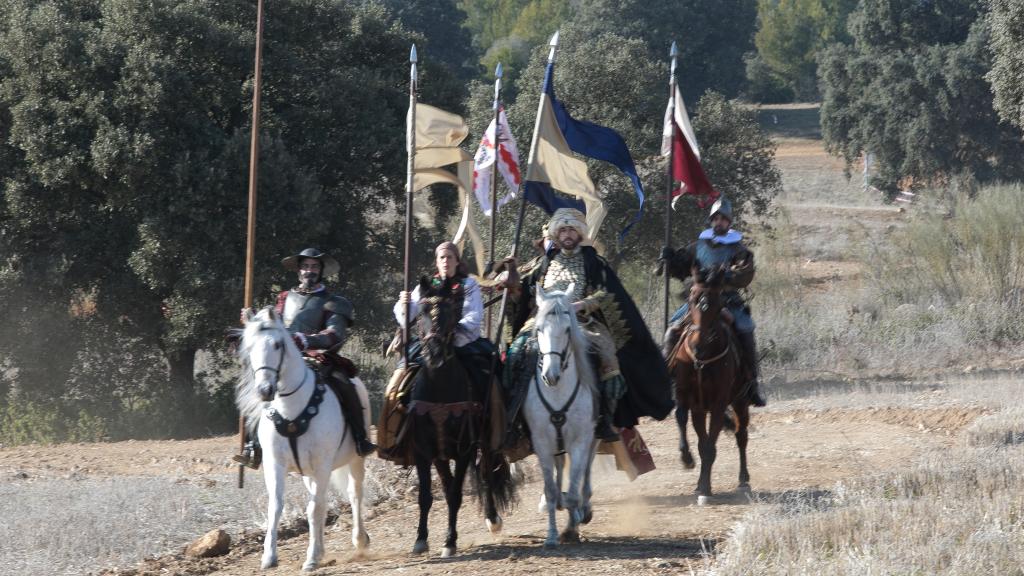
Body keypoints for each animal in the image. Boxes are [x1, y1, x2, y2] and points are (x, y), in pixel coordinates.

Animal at [234, 307, 368, 565]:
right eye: (249, 346)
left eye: (277, 344)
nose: (264, 390)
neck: (292, 408)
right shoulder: (274, 463)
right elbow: (276, 506)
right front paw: (269, 557)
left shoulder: (323, 464)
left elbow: (314, 509)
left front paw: (311, 559)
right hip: (308, 473)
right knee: (324, 501)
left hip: (355, 459)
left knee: (354, 494)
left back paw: (359, 540)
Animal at [520, 284, 598, 545]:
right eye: (539, 329)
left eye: (567, 329)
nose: (550, 376)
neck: (557, 393)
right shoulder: (542, 443)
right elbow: (551, 490)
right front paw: (552, 536)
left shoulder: (580, 440)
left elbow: (574, 491)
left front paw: (571, 528)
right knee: (559, 468)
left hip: (592, 438)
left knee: (585, 472)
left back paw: (584, 508)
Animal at [671, 260, 753, 498]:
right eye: (691, 298)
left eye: (718, 303)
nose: (698, 345)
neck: (703, 359)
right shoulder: (691, 401)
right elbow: (692, 432)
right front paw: (688, 462)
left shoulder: (718, 404)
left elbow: (710, 447)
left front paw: (706, 489)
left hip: (741, 400)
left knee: (741, 435)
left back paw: (743, 479)